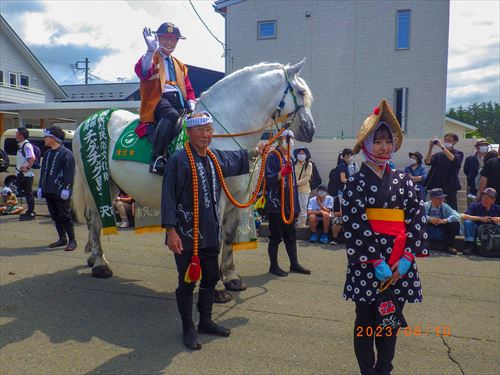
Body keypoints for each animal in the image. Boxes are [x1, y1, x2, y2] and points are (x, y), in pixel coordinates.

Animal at [72, 60, 314, 304]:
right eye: (302, 92)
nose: (310, 130)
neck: (222, 134)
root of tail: (87, 122)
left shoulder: (237, 199)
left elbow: (228, 238)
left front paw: (232, 278)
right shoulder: (215, 199)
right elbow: (215, 241)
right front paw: (218, 289)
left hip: (110, 185)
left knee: (96, 219)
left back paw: (94, 257)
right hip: (95, 181)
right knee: (94, 219)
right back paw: (100, 264)